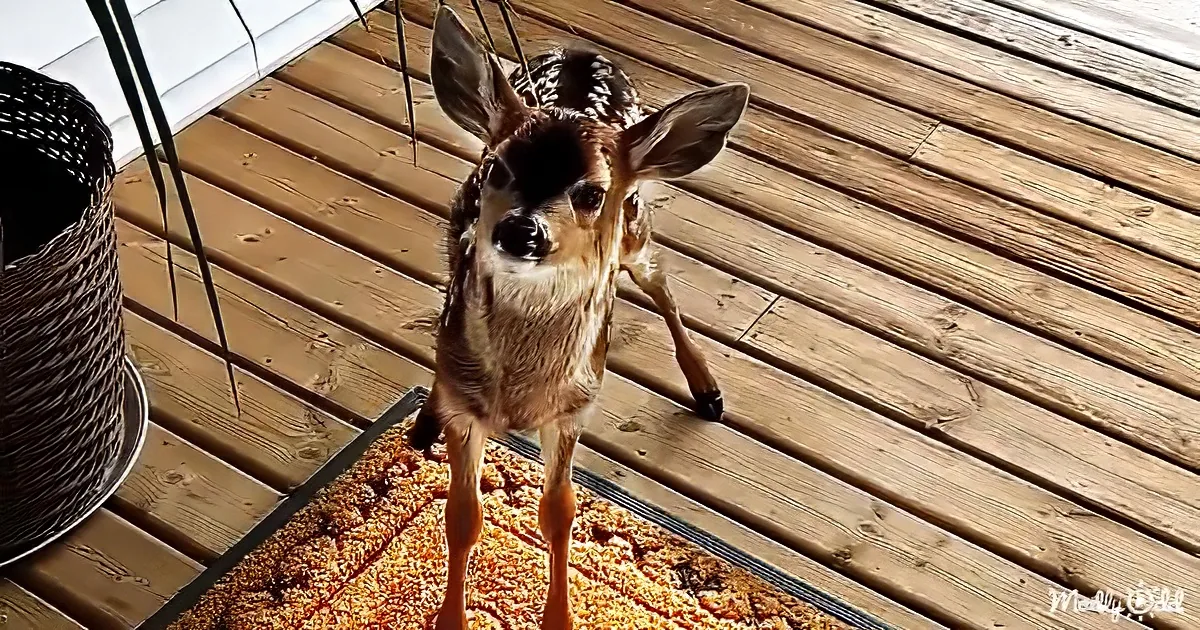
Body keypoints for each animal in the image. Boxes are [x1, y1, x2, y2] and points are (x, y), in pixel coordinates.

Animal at [407, 6, 749, 629]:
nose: (522, 230)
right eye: (498, 167)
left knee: (660, 281)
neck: (519, 394)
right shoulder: (468, 410)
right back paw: (425, 417)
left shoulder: (573, 408)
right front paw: (450, 618)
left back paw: (707, 389)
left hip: (634, 229)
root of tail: (581, 51)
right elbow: (463, 515)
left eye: (591, 192)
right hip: (454, 228)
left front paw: (559, 618)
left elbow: (559, 512)